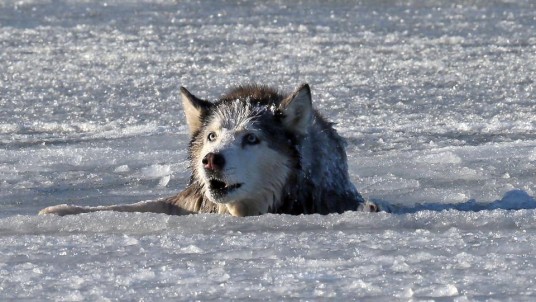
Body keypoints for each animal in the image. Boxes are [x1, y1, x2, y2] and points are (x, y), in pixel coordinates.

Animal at [39, 84, 374, 216]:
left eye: (251, 138)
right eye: (212, 136)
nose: (210, 160)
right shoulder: (191, 204)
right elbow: (132, 207)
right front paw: (61, 211)